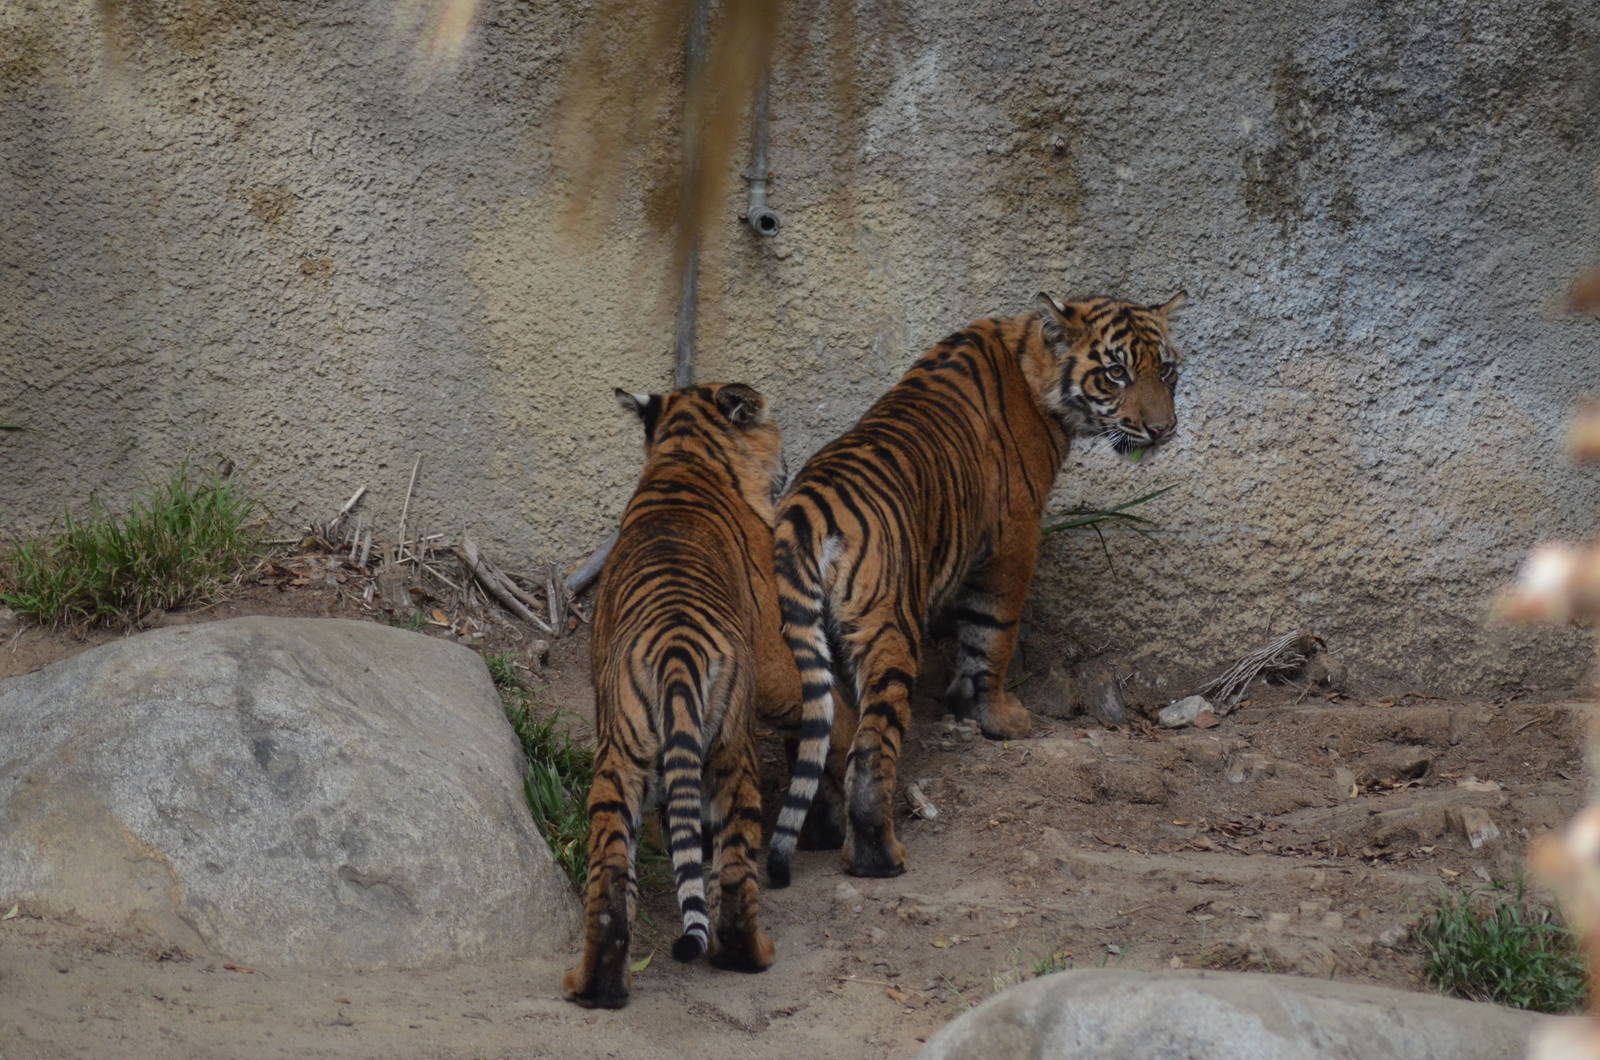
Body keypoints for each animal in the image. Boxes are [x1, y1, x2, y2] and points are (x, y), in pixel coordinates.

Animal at [562, 382, 796, 1009]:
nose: (787, 466)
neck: (685, 451)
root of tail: (675, 651)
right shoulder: (775, 655)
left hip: (617, 764)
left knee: (609, 887)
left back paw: (591, 988)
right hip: (734, 755)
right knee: (736, 875)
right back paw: (752, 954)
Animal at [765, 292, 1188, 884]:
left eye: (1166, 370)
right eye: (1116, 373)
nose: (1162, 430)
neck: (1031, 356)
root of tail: (808, 514)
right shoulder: (1014, 539)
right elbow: (992, 633)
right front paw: (998, 717)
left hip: (798, 641)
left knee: (813, 734)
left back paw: (822, 833)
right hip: (888, 626)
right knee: (869, 746)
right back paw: (877, 855)